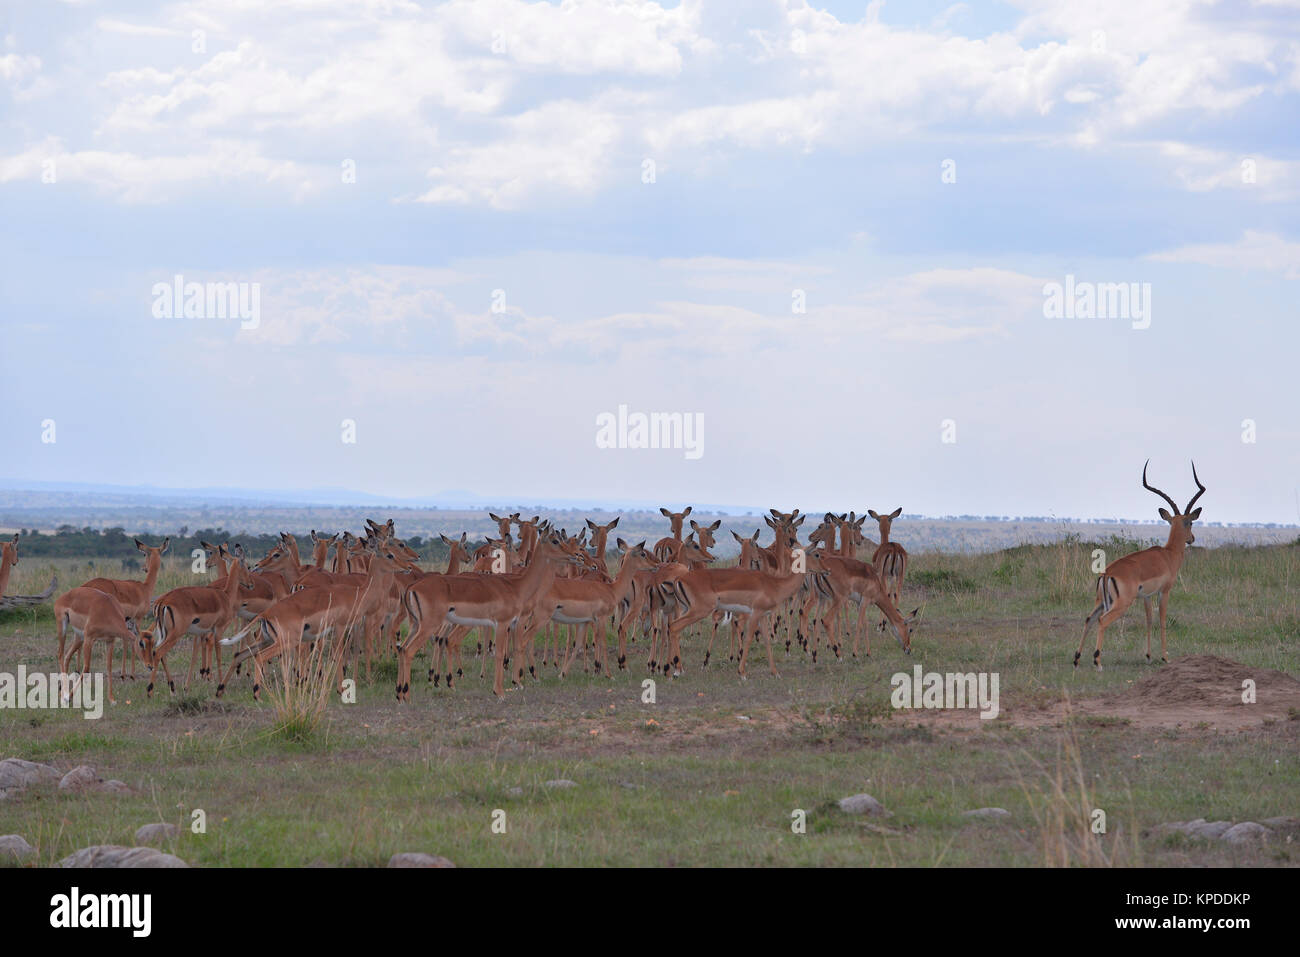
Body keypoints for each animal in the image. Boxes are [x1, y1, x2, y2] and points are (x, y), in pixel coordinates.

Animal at [1076, 461, 1206, 671]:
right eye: (1190, 523)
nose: (1192, 539)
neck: (1169, 554)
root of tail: (1107, 573)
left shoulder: (1146, 596)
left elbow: (1149, 621)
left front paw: (1148, 656)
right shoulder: (1164, 591)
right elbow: (1162, 620)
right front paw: (1165, 658)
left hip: (1101, 602)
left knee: (1089, 619)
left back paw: (1076, 660)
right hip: (1121, 604)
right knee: (1102, 621)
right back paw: (1098, 662)